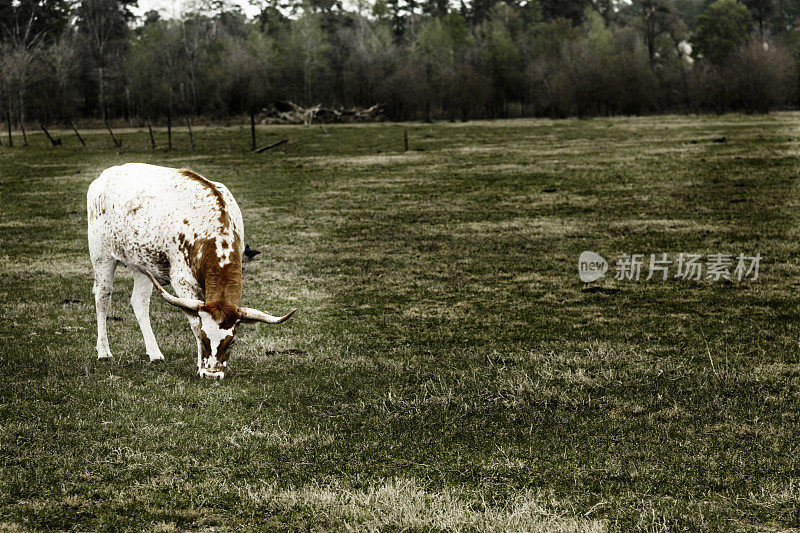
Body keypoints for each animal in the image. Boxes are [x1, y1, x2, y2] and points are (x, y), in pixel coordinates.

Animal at [85, 162, 296, 378]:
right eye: (203, 338)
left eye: (232, 342)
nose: (212, 375)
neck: (212, 233)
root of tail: (105, 175)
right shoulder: (182, 282)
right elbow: (194, 322)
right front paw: (200, 365)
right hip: (102, 257)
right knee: (102, 297)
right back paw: (104, 352)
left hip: (143, 264)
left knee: (139, 302)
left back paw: (154, 353)